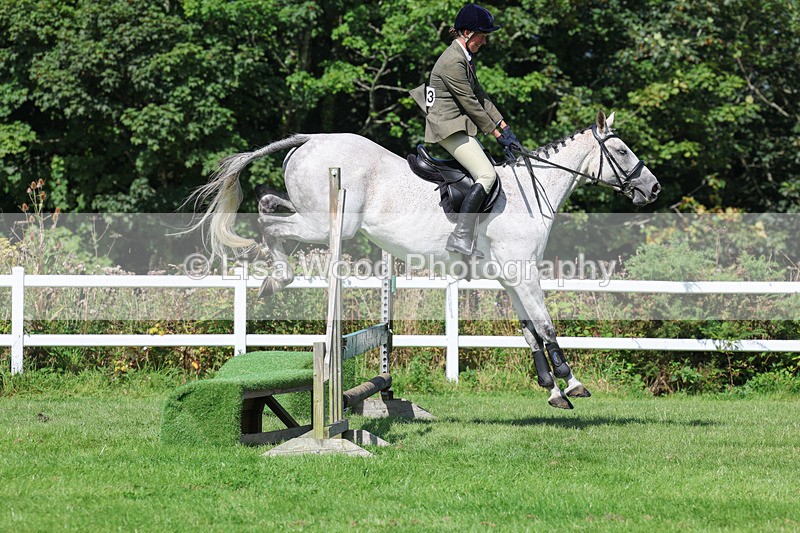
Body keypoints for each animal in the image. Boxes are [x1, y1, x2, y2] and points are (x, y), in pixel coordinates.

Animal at [186, 110, 660, 409]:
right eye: (621, 152)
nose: (653, 189)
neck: (533, 189)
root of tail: (313, 139)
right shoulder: (524, 272)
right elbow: (545, 326)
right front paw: (572, 384)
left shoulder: (510, 277)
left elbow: (529, 332)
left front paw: (551, 390)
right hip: (327, 224)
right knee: (272, 226)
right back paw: (275, 276)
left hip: (313, 214)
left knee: (268, 204)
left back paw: (270, 273)